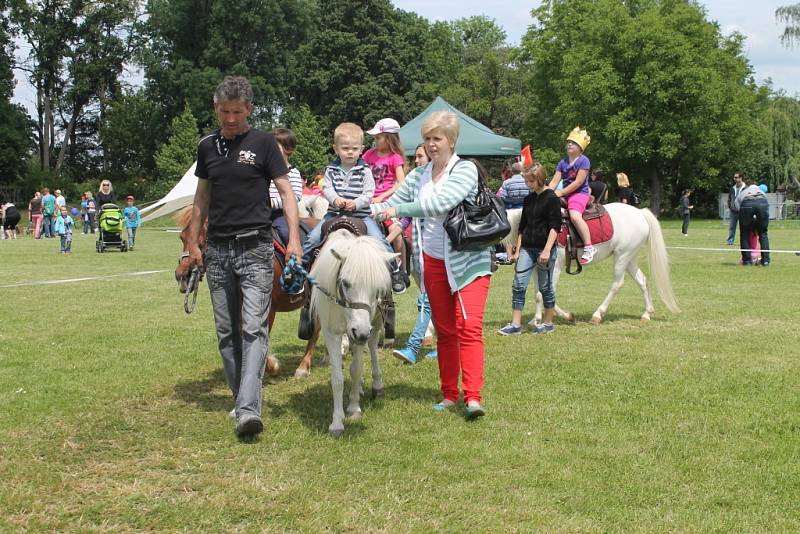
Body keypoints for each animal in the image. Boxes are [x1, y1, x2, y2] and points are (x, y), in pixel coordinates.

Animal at [175, 207, 322, 378]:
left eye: (203, 239)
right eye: (182, 237)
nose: (181, 276)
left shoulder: (267, 309)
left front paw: (272, 366)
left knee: (317, 329)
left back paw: (304, 367)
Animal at [310, 230, 396, 440]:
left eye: (376, 289)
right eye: (346, 283)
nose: (361, 333)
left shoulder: (362, 331)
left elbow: (356, 369)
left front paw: (353, 408)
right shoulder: (332, 332)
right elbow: (337, 377)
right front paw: (337, 422)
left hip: (375, 323)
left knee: (372, 348)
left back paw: (376, 385)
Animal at [504, 203, 680, 324]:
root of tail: (640, 213)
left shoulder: (554, 267)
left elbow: (545, 292)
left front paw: (563, 316)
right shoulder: (536, 268)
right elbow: (537, 294)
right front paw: (537, 319)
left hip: (622, 256)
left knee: (617, 284)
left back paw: (597, 315)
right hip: (630, 258)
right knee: (642, 281)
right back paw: (646, 314)